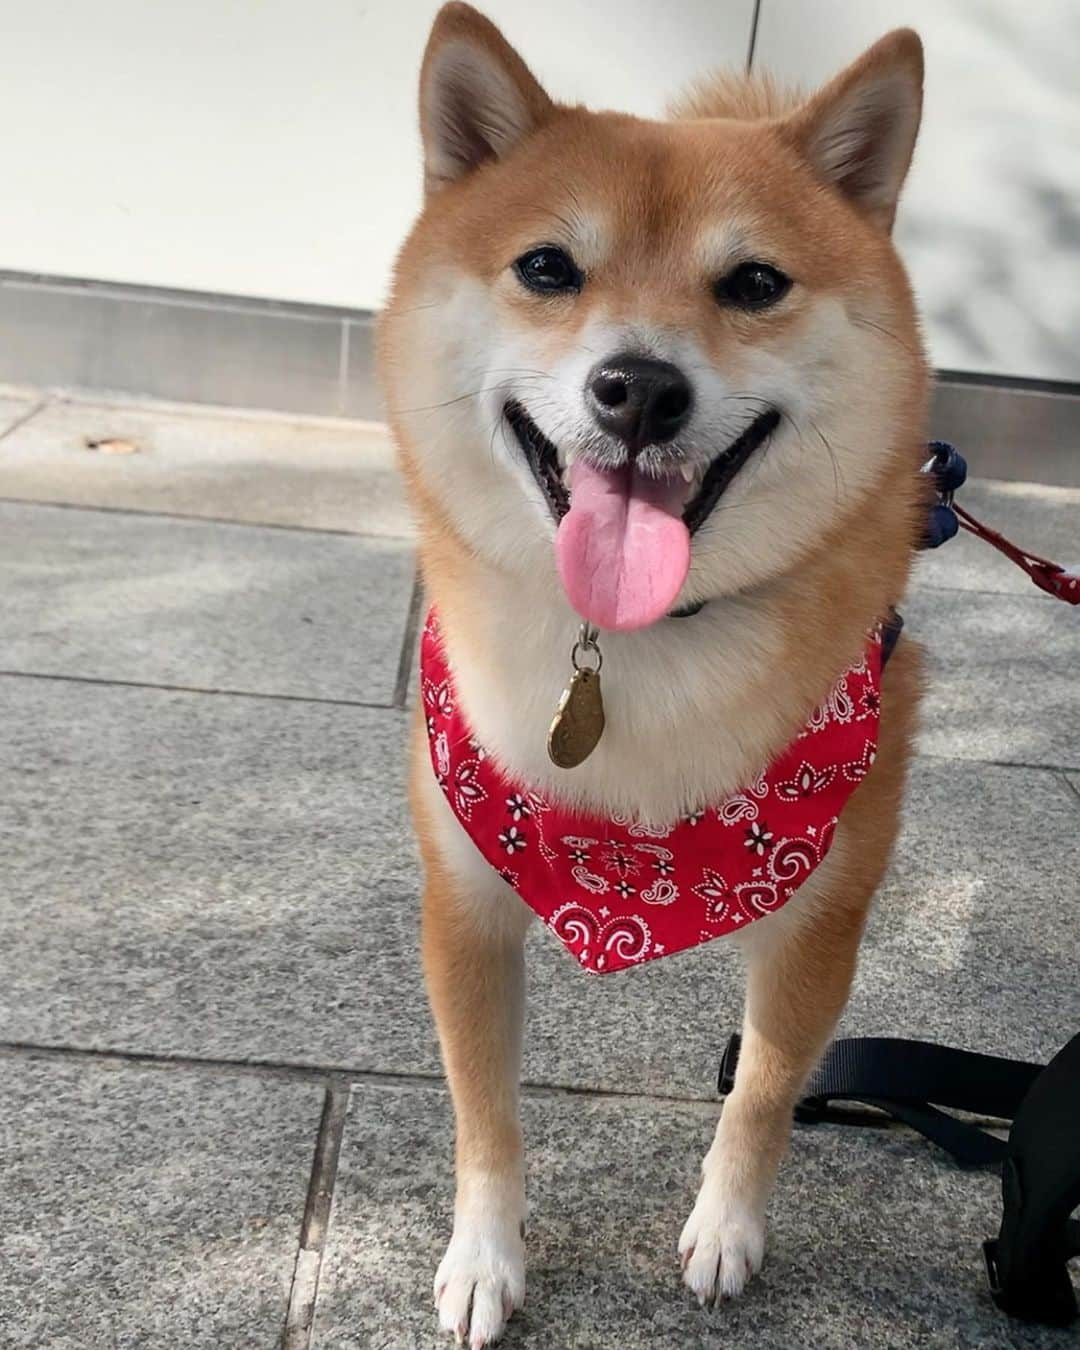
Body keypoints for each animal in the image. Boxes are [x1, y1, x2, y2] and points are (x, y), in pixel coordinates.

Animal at [378, 5, 928, 1344]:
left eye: (755, 284)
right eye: (546, 268)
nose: (638, 387)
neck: (631, 646)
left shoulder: (819, 919)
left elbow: (766, 1091)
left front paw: (728, 1231)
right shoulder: (465, 905)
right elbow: (485, 1110)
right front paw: (486, 1258)